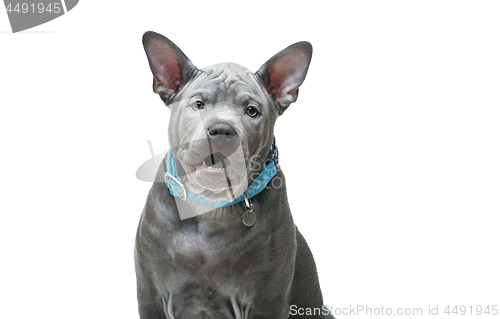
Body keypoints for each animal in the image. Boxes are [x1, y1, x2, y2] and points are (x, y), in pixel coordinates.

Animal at [135, 30, 334, 319]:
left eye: (252, 111)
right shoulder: (150, 297)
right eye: (198, 104)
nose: (221, 130)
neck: (211, 208)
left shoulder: (267, 301)